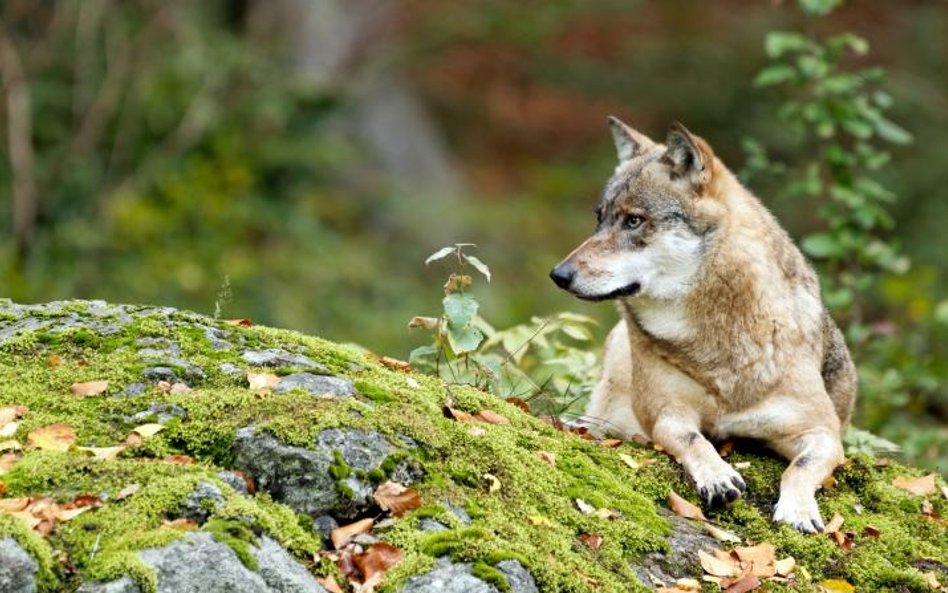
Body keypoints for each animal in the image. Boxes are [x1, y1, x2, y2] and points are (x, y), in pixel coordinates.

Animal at [548, 117, 860, 532]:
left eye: (633, 221)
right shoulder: (666, 412)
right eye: (599, 219)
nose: (559, 275)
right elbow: (693, 439)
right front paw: (717, 476)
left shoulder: (822, 431)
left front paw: (797, 511)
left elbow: (800, 467)